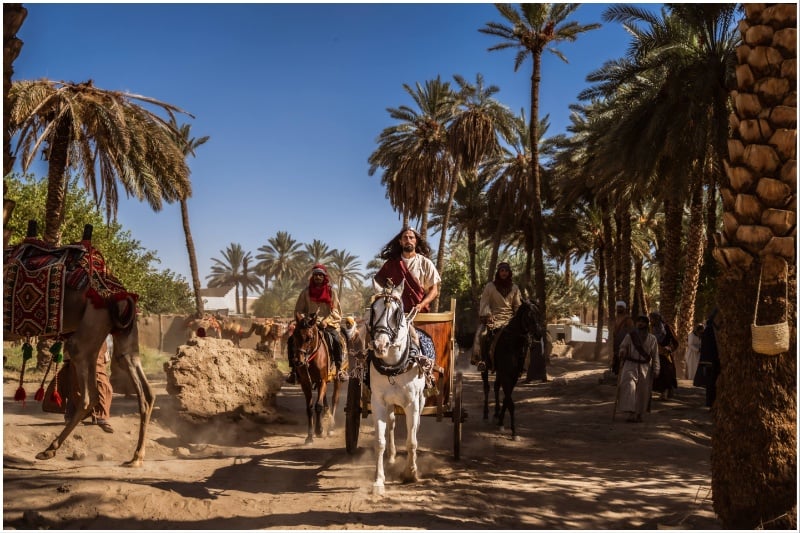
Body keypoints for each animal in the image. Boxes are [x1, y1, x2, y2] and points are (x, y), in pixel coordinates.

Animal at [294, 310, 344, 442]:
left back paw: (331, 427)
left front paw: (319, 430)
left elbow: (318, 406)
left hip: (337, 379)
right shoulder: (306, 383)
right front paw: (310, 436)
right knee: (325, 399)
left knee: (334, 399)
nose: (299, 362)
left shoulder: (322, 380)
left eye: (309, 337)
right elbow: (309, 408)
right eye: (295, 335)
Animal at [368, 278, 428, 494]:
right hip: (391, 403)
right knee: (392, 423)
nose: (380, 345)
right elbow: (379, 441)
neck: (393, 367)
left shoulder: (412, 403)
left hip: (420, 400)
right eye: (373, 310)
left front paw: (410, 472)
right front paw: (378, 480)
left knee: (416, 427)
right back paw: (392, 456)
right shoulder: (377, 402)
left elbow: (411, 441)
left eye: (397, 313)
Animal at [482, 300, 544, 440]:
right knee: (487, 388)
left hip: (500, 373)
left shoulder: (513, 376)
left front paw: (500, 421)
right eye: (529, 316)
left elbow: (507, 398)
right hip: (485, 368)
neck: (514, 345)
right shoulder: (506, 376)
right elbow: (510, 403)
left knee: (496, 387)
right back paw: (486, 414)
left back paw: (496, 414)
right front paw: (514, 431)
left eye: (539, 314)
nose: (539, 334)